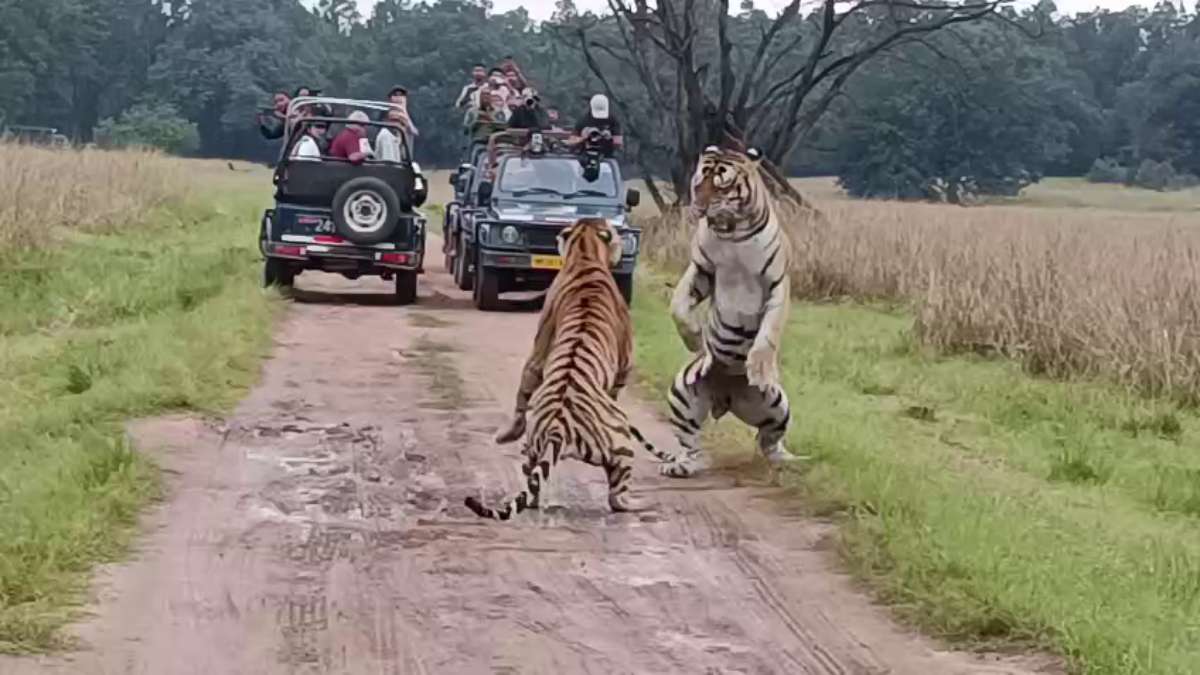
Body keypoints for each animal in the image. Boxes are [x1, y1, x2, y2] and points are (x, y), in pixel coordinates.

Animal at [465, 217, 673, 520]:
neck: (585, 253)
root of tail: (558, 427)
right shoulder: (624, 364)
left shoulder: (539, 348)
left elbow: (526, 384)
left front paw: (508, 432)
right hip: (621, 444)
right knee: (617, 498)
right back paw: (644, 503)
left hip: (537, 447)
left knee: (532, 483)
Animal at [658, 145, 798, 478]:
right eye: (698, 182)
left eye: (721, 185)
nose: (698, 204)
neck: (730, 231)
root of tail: (726, 400)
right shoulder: (701, 270)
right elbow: (677, 306)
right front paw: (696, 341)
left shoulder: (777, 285)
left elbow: (769, 332)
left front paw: (758, 367)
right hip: (681, 393)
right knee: (691, 443)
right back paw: (681, 465)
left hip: (778, 404)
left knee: (769, 439)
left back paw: (787, 460)